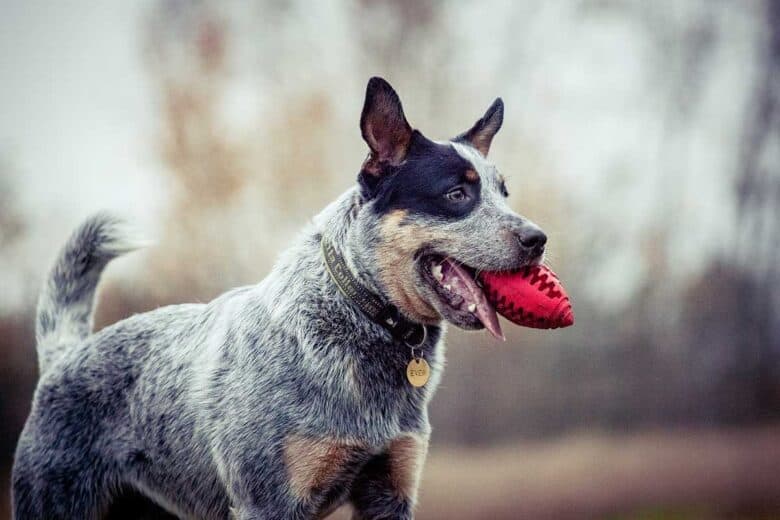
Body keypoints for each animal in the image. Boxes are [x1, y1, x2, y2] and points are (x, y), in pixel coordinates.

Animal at [12, 78, 548, 520]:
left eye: (503, 193)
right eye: (457, 193)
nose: (538, 239)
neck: (360, 316)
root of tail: (64, 357)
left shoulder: (391, 488)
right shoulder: (268, 501)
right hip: (54, 500)